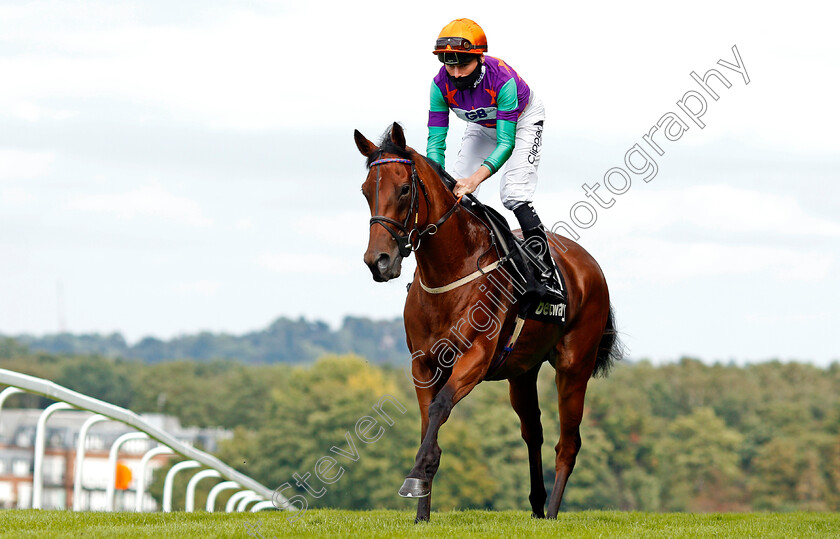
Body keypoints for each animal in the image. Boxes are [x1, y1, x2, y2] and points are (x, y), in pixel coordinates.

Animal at [352, 123, 620, 524]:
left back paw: (552, 513)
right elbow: (427, 421)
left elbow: (440, 407)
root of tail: (590, 265)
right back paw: (537, 507)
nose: (378, 261)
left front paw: (417, 476)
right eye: (366, 190)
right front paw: (421, 512)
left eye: (403, 190)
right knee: (533, 432)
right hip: (522, 372)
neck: (450, 269)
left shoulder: (475, 358)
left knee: (568, 442)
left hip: (575, 366)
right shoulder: (423, 363)